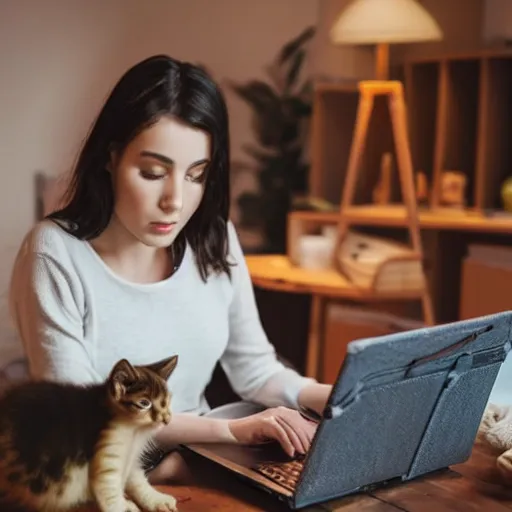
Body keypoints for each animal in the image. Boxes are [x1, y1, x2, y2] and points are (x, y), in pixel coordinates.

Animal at [0, 356, 178, 512]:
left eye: (166, 402)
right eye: (144, 403)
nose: (167, 419)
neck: (134, 431)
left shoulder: (130, 456)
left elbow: (136, 479)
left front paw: (156, 499)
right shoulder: (107, 449)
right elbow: (109, 488)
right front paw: (124, 506)